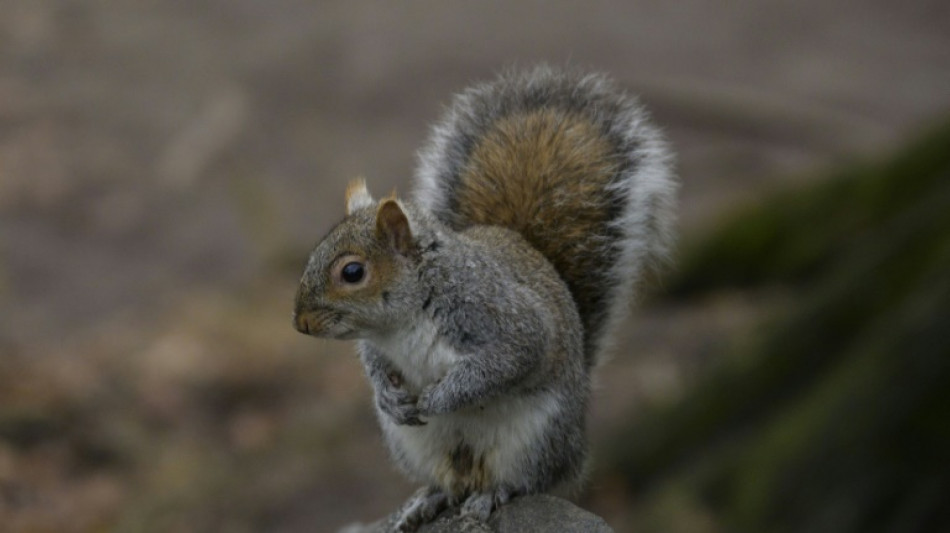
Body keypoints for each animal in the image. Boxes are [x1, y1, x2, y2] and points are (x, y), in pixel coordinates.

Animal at [296, 65, 676, 528]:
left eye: (352, 272)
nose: (300, 322)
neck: (401, 322)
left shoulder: (493, 314)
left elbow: (506, 359)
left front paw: (438, 397)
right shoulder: (378, 343)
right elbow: (373, 362)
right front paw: (388, 396)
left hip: (534, 438)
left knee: (524, 481)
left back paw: (491, 494)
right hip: (413, 445)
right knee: (447, 482)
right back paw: (428, 499)